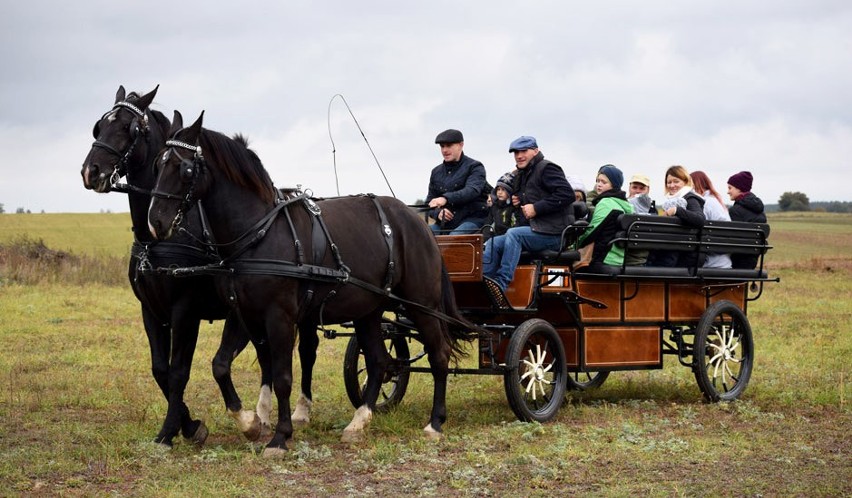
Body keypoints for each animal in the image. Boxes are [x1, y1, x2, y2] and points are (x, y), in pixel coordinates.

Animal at [80, 86, 272, 448]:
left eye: (130, 129)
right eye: (99, 126)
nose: (91, 171)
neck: (154, 241)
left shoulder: (185, 310)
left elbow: (179, 371)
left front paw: (170, 432)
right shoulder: (150, 310)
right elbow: (161, 369)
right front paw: (190, 424)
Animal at [147, 112, 480, 456]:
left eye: (185, 169)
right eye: (157, 164)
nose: (156, 221)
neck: (259, 231)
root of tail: (419, 222)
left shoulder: (279, 316)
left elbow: (282, 376)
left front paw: (280, 437)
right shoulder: (242, 314)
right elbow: (222, 366)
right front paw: (250, 423)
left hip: (422, 305)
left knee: (439, 354)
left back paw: (435, 423)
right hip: (368, 311)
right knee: (379, 362)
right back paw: (358, 422)